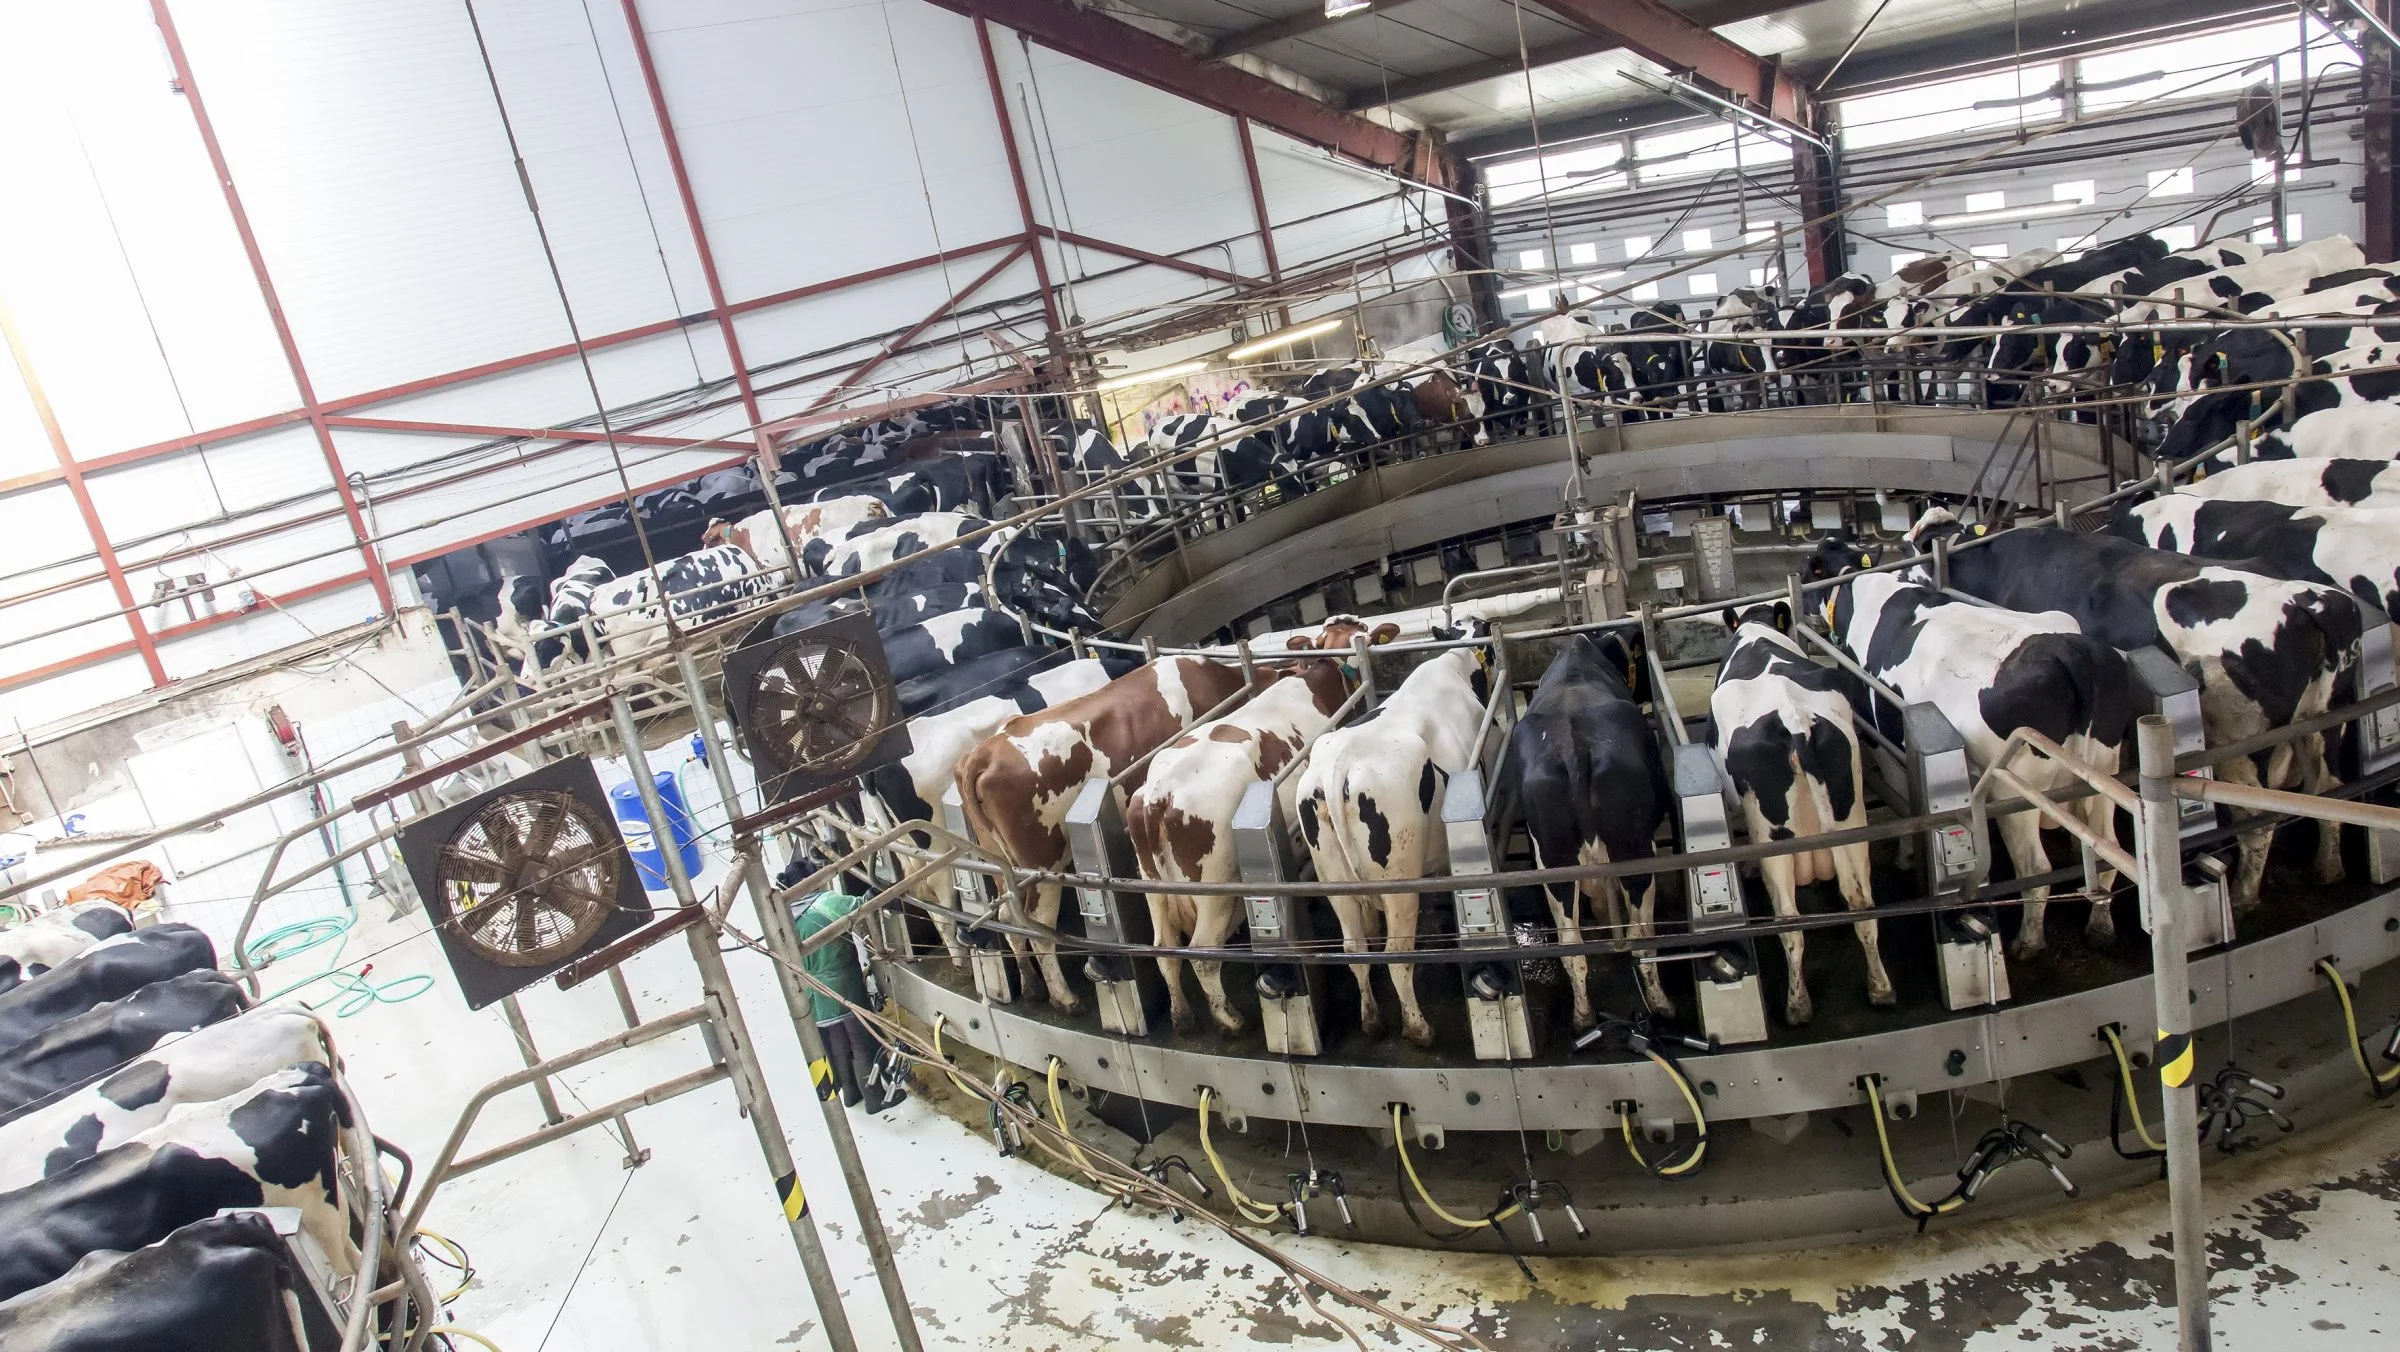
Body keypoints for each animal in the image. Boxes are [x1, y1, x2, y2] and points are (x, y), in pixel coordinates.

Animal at [1123, 657, 1353, 1037]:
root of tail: (1159, 794)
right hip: (1215, 890)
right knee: (1202, 954)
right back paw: (1229, 1019)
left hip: (1153, 888)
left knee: (1165, 950)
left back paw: (1182, 1017)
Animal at [1497, 633, 1670, 1027]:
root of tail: (1573, 749)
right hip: (1635, 848)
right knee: (1642, 936)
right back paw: (1661, 1004)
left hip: (1553, 858)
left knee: (1572, 946)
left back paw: (1582, 1015)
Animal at [1708, 605, 1891, 1027]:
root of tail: (1795, 720)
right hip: (1851, 821)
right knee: (1863, 905)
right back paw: (1880, 988)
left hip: (1774, 840)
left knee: (1790, 922)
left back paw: (1797, 1004)